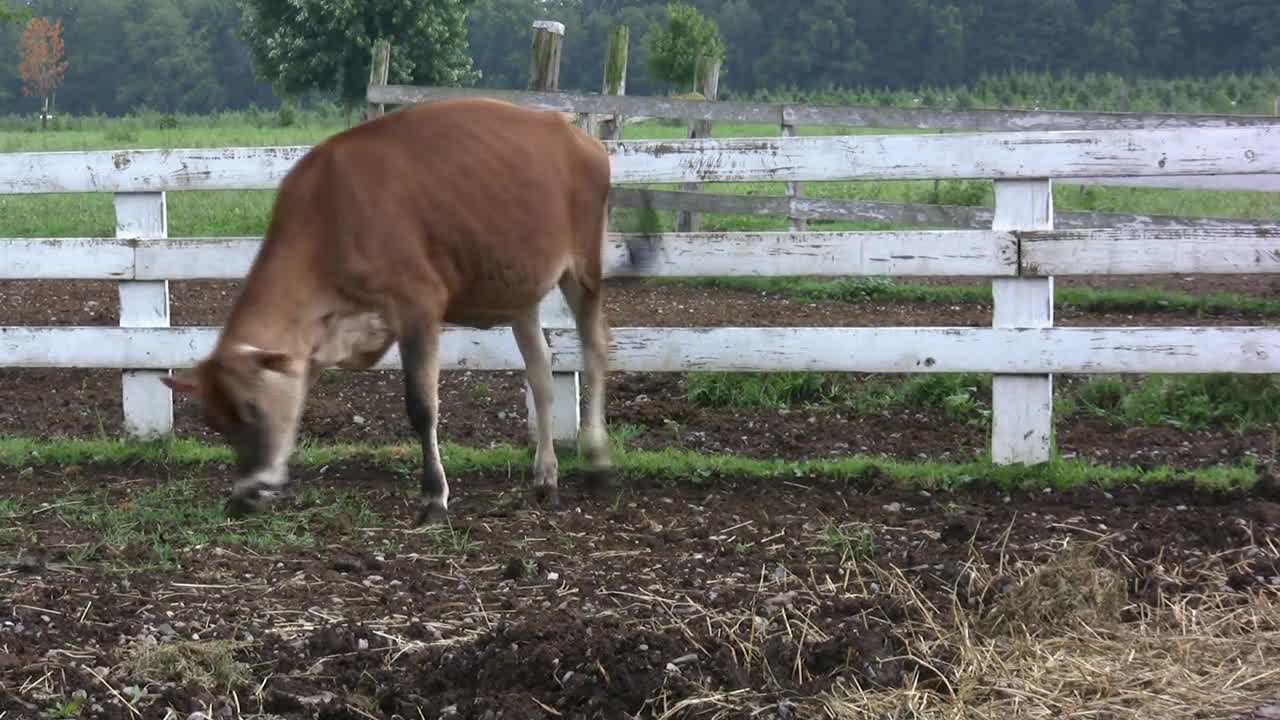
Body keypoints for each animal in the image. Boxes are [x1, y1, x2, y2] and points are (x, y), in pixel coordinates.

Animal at [161, 96, 660, 520]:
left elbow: (422, 407)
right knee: (540, 373)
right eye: (213, 422)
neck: (330, 218)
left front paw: (434, 497)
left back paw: (597, 461)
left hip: (583, 270)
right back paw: (545, 477)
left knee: (595, 350)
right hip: (519, 292)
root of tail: (580, 138)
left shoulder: (418, 307)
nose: (243, 498)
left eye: (250, 408)